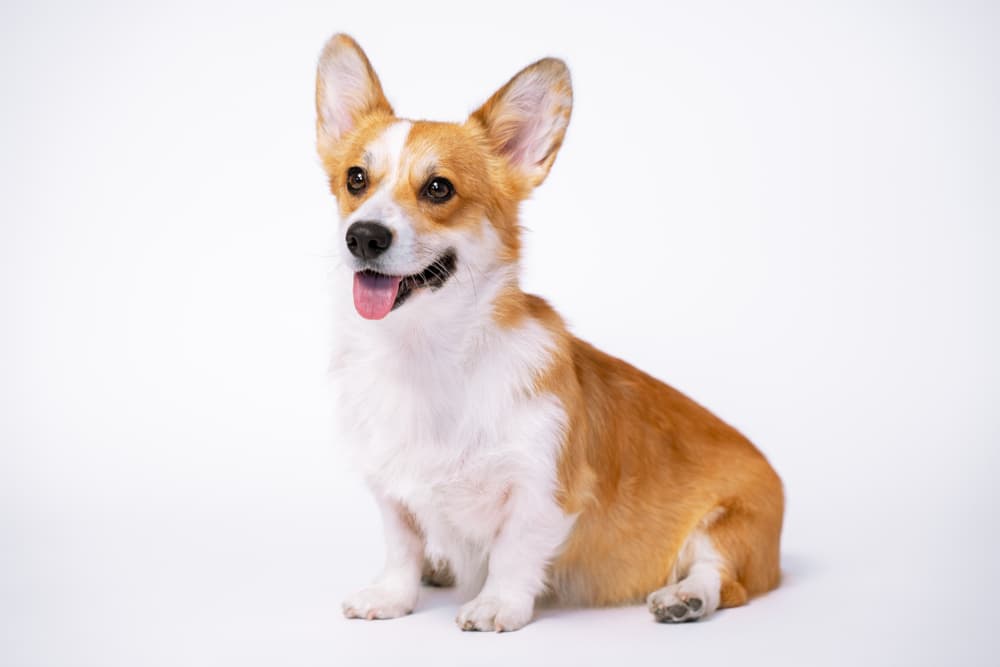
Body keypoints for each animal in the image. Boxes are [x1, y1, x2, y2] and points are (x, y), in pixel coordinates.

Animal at [316, 35, 784, 632]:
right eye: (356, 178)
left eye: (439, 188)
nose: (364, 236)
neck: (426, 352)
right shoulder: (390, 488)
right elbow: (402, 546)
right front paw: (393, 596)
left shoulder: (543, 487)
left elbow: (514, 551)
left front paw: (498, 604)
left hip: (730, 527)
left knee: (722, 576)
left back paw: (686, 597)